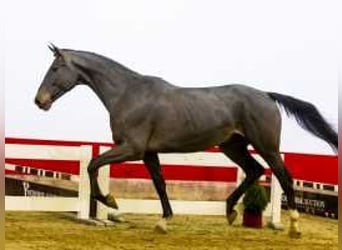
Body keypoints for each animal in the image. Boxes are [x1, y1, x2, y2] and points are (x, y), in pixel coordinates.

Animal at [33, 44, 338, 237]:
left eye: (55, 68)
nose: (39, 101)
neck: (128, 94)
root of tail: (266, 95)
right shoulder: (148, 153)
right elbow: (159, 183)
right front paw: (164, 222)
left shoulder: (131, 149)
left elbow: (92, 165)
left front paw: (110, 200)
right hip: (233, 146)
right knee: (255, 170)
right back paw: (230, 211)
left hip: (267, 146)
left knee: (283, 176)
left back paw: (294, 227)